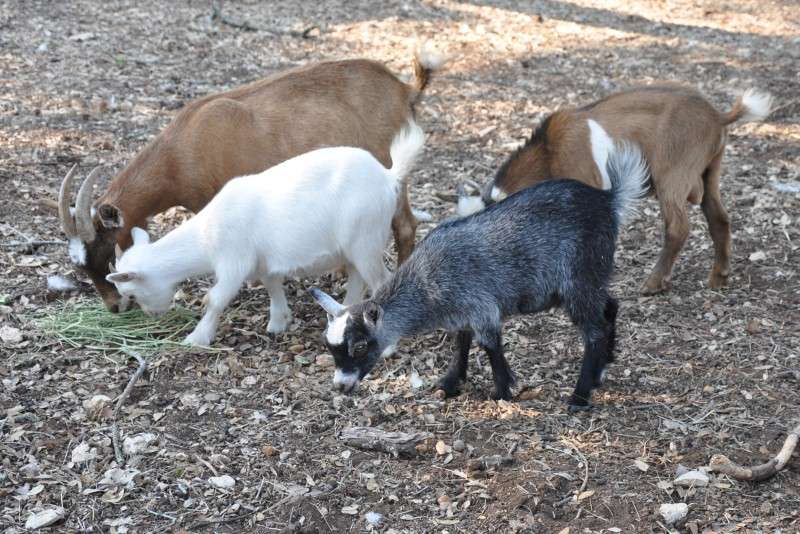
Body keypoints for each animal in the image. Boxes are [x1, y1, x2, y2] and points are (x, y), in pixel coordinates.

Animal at [57, 52, 444, 312]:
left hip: (389, 166)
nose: (114, 307)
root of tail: (404, 90)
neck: (183, 149)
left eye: (106, 254)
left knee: (405, 226)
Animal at [111, 121, 432, 348]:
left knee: (379, 279)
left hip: (365, 239)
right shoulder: (262, 261)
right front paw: (279, 322)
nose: (151, 315)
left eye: (130, 292)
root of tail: (388, 176)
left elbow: (216, 298)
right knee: (357, 277)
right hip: (355, 244)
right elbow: (272, 285)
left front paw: (196, 338)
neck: (207, 234)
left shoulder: (234, 261)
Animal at [460, 86, 772, 298]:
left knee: (678, 228)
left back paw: (653, 283)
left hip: (671, 176)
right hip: (710, 173)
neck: (549, 153)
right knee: (719, 219)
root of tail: (718, 116)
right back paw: (719, 277)